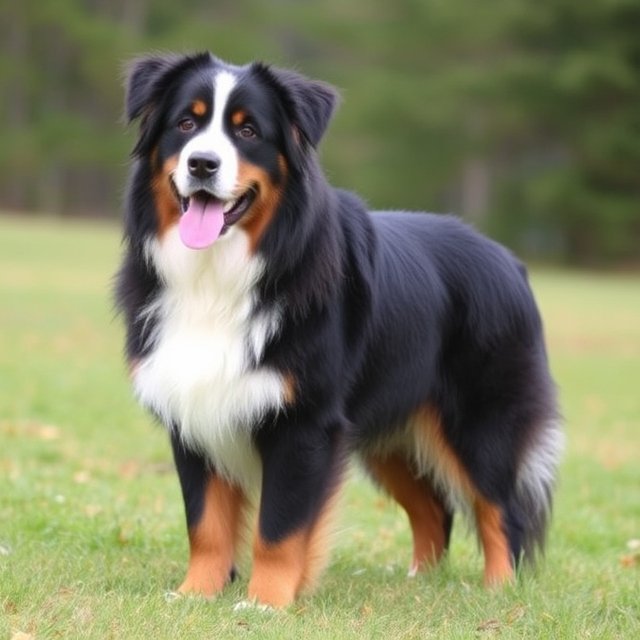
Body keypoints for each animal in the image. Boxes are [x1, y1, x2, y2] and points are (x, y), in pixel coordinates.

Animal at [114, 52, 560, 608]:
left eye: (248, 131)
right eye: (186, 125)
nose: (202, 164)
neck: (220, 276)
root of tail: (509, 260)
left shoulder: (305, 424)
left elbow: (279, 528)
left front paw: (265, 603)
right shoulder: (193, 410)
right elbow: (207, 523)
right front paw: (195, 593)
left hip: (480, 423)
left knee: (502, 508)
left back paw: (499, 591)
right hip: (388, 433)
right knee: (434, 507)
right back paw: (420, 583)